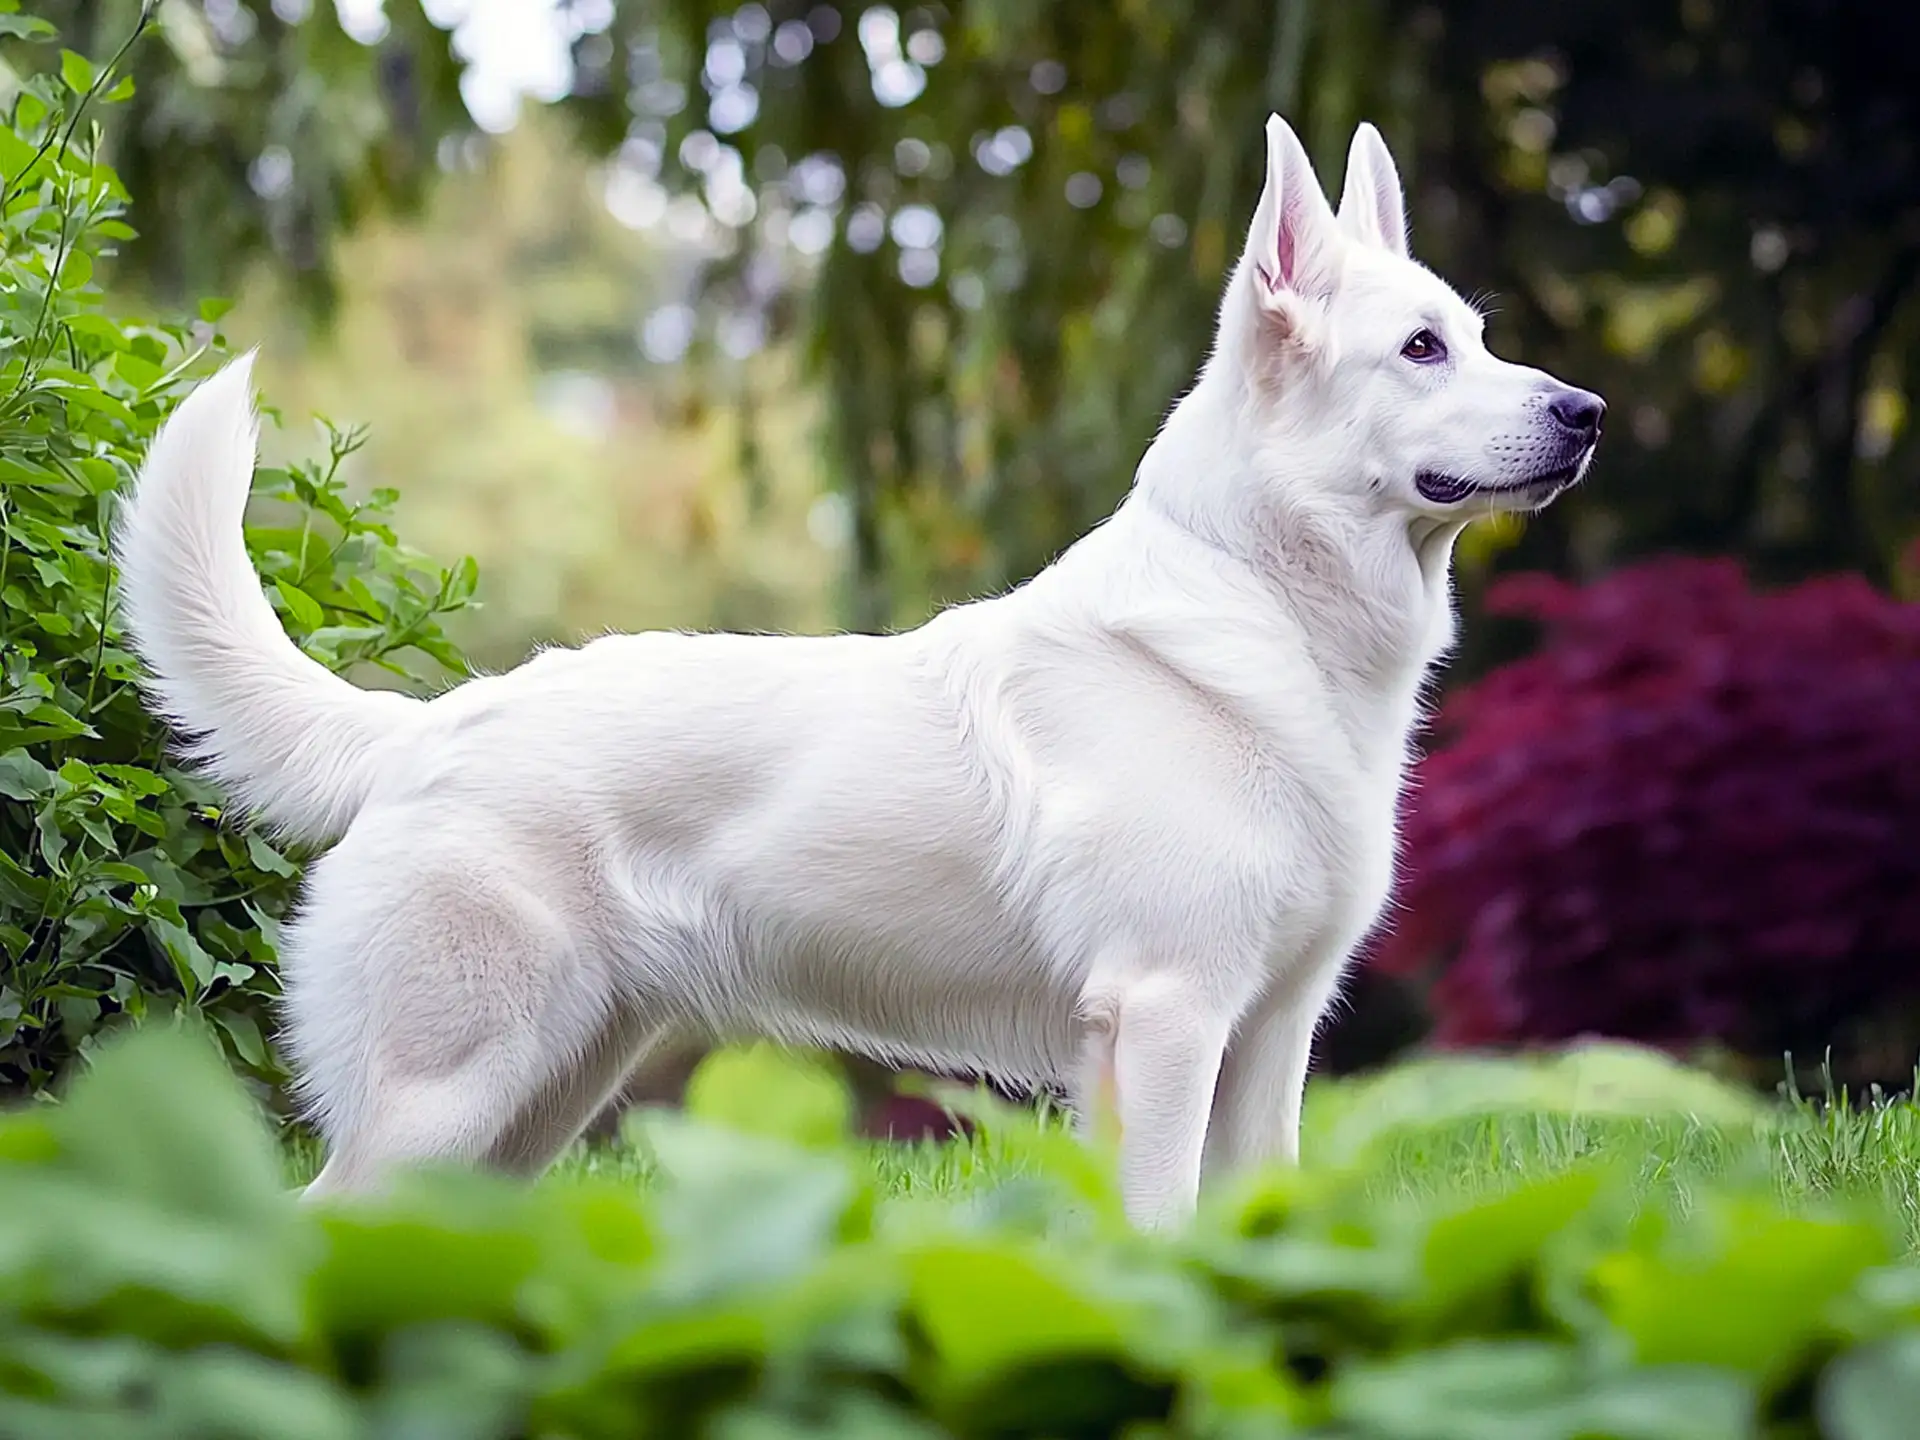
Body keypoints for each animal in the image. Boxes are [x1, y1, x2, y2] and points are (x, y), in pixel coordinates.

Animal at [112, 118, 1597, 1236]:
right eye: (1420, 350)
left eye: (1477, 336)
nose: (1584, 412)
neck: (1260, 612)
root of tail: (429, 728)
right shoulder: (1168, 1021)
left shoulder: (1269, 1038)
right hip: (453, 1092)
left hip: (539, 1101)